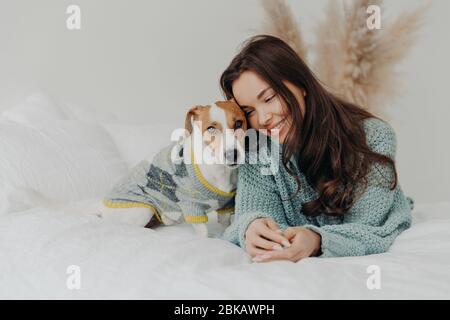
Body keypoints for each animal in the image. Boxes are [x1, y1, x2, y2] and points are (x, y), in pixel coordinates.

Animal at [97, 100, 248, 238]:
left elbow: (225, 227)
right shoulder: (191, 206)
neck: (220, 170)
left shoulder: (226, 207)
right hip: (142, 210)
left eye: (238, 123)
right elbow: (204, 234)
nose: (232, 154)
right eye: (211, 128)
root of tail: (101, 208)